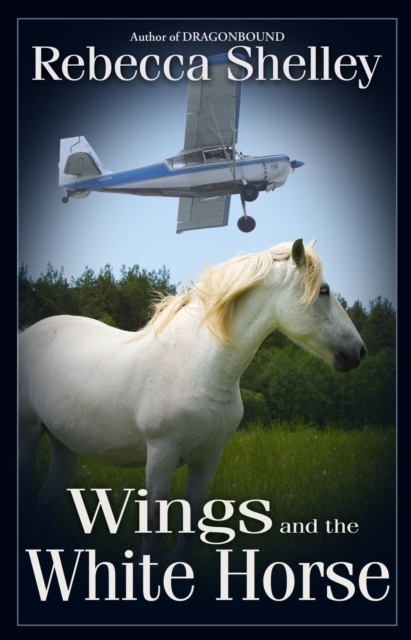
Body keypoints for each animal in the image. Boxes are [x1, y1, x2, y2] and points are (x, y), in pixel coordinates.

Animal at [18, 239, 366, 560]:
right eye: (324, 290)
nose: (359, 352)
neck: (197, 366)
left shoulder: (208, 458)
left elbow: (193, 523)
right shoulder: (161, 454)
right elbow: (154, 526)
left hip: (66, 444)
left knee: (47, 500)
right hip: (29, 434)